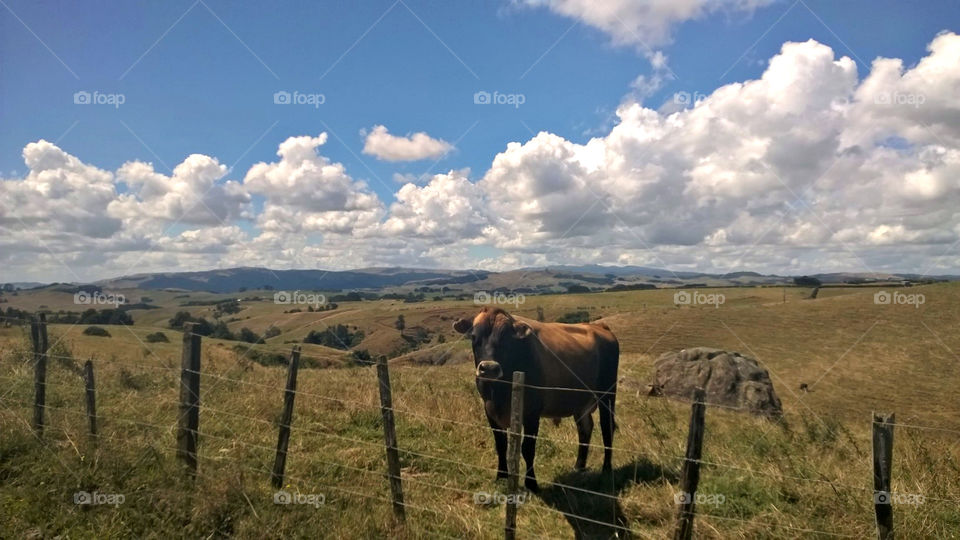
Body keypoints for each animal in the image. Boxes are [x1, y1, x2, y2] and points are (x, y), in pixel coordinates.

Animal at [452, 306, 620, 492]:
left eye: (506, 338)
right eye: (474, 336)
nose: (489, 368)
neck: (500, 390)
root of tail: (600, 327)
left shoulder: (531, 412)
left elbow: (528, 448)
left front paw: (531, 483)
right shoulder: (489, 410)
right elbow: (500, 444)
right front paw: (501, 477)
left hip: (607, 395)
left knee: (607, 427)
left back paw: (606, 469)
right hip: (580, 402)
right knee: (585, 428)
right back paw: (579, 466)